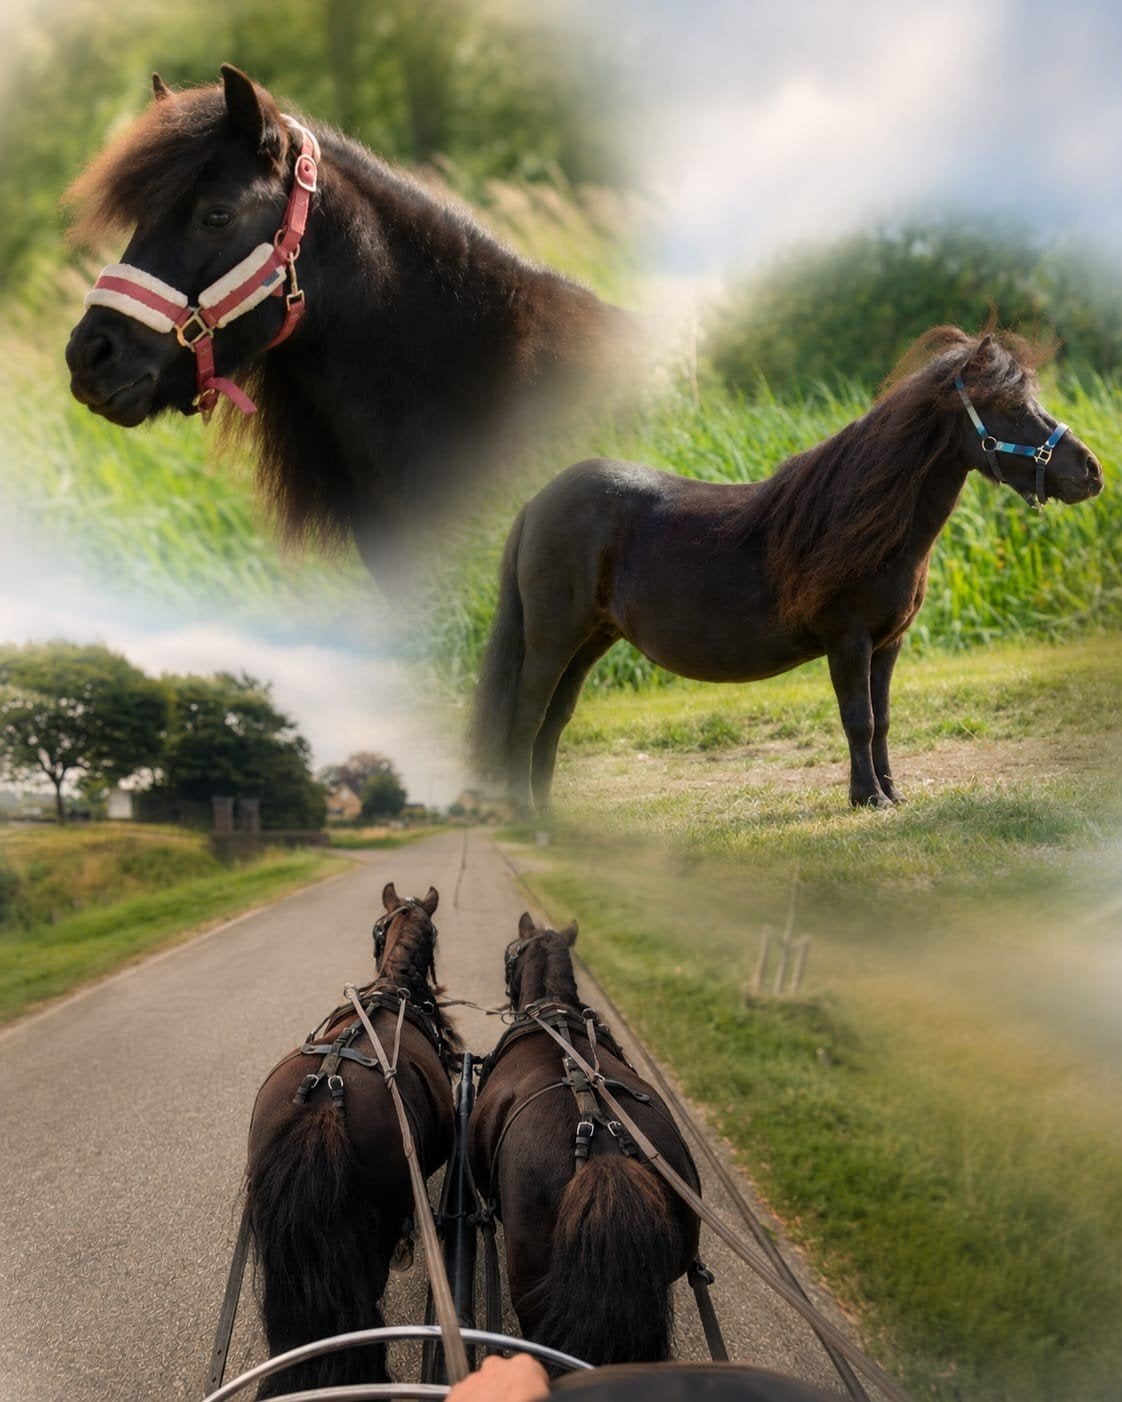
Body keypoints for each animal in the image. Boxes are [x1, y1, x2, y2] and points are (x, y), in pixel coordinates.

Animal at [469, 326, 1104, 812]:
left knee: (553, 722)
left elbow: (883, 720)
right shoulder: (848, 641)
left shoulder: (887, 645)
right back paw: (525, 813)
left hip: (590, 641)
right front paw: (867, 799)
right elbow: (858, 720)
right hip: (553, 640)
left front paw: (892, 794)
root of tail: (536, 502)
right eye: (1011, 408)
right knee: (527, 717)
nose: (1092, 470)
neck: (861, 521)